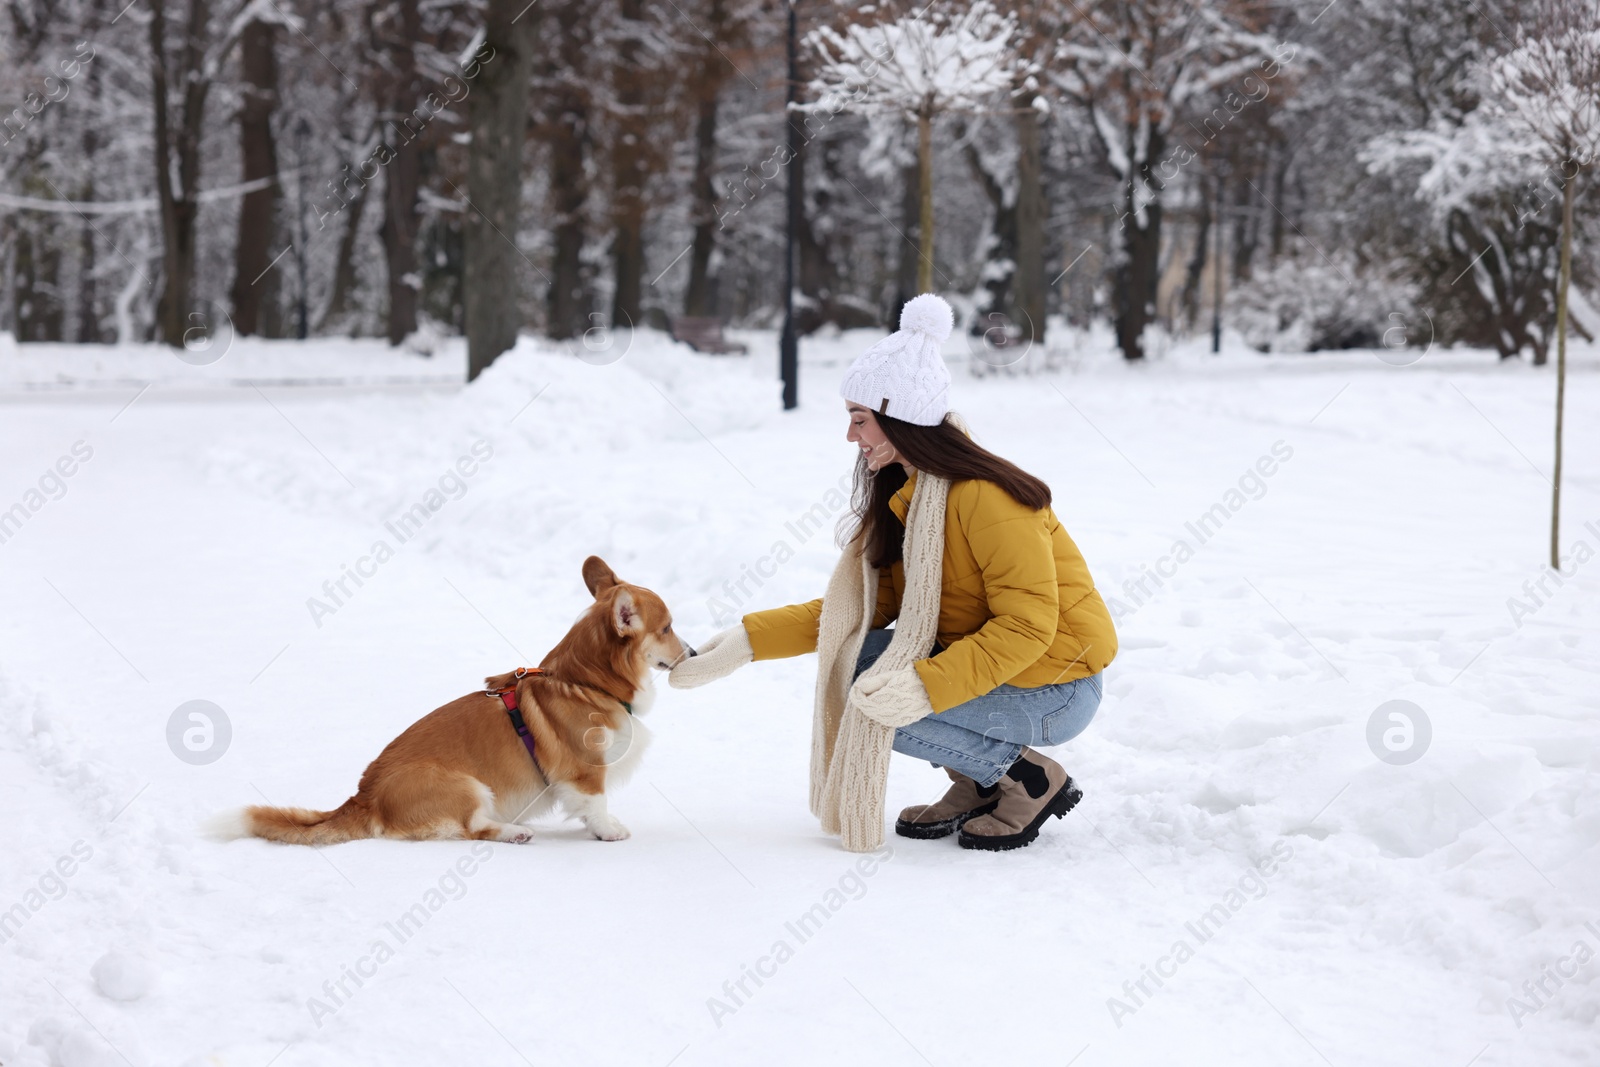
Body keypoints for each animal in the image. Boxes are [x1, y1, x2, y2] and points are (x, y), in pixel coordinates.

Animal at [227, 559, 694, 851]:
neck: (583, 681)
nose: (691, 653)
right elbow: (596, 806)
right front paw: (610, 832)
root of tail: (364, 798)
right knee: (471, 830)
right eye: (667, 628)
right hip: (468, 785)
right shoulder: (585, 772)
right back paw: (513, 832)